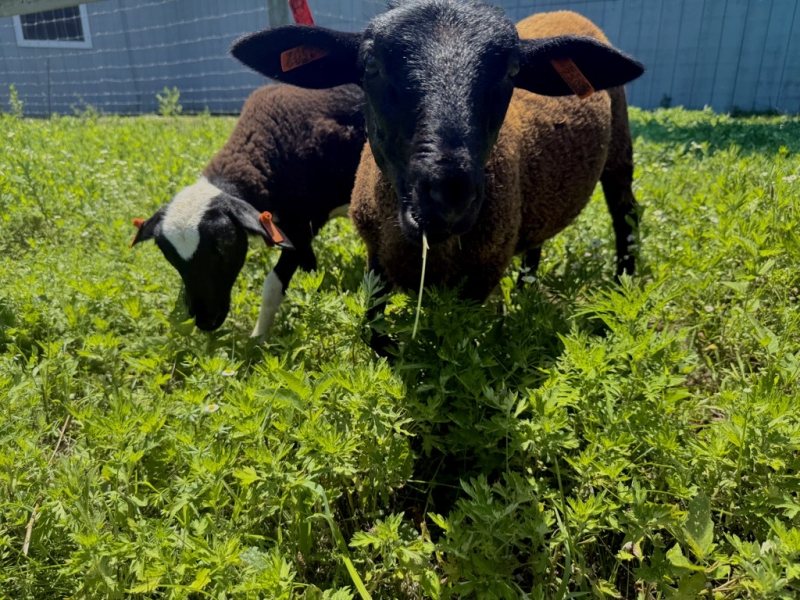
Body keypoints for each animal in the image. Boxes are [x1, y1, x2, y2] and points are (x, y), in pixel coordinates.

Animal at [132, 83, 365, 336]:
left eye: (223, 247)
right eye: (170, 258)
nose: (206, 321)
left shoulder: (301, 228)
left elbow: (273, 286)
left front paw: (258, 337)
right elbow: (311, 270)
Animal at [231, 0, 643, 339]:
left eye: (512, 71)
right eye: (371, 65)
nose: (449, 194)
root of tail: (566, 13)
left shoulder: (480, 277)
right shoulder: (376, 257)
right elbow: (373, 333)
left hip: (619, 151)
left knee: (626, 214)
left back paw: (623, 290)